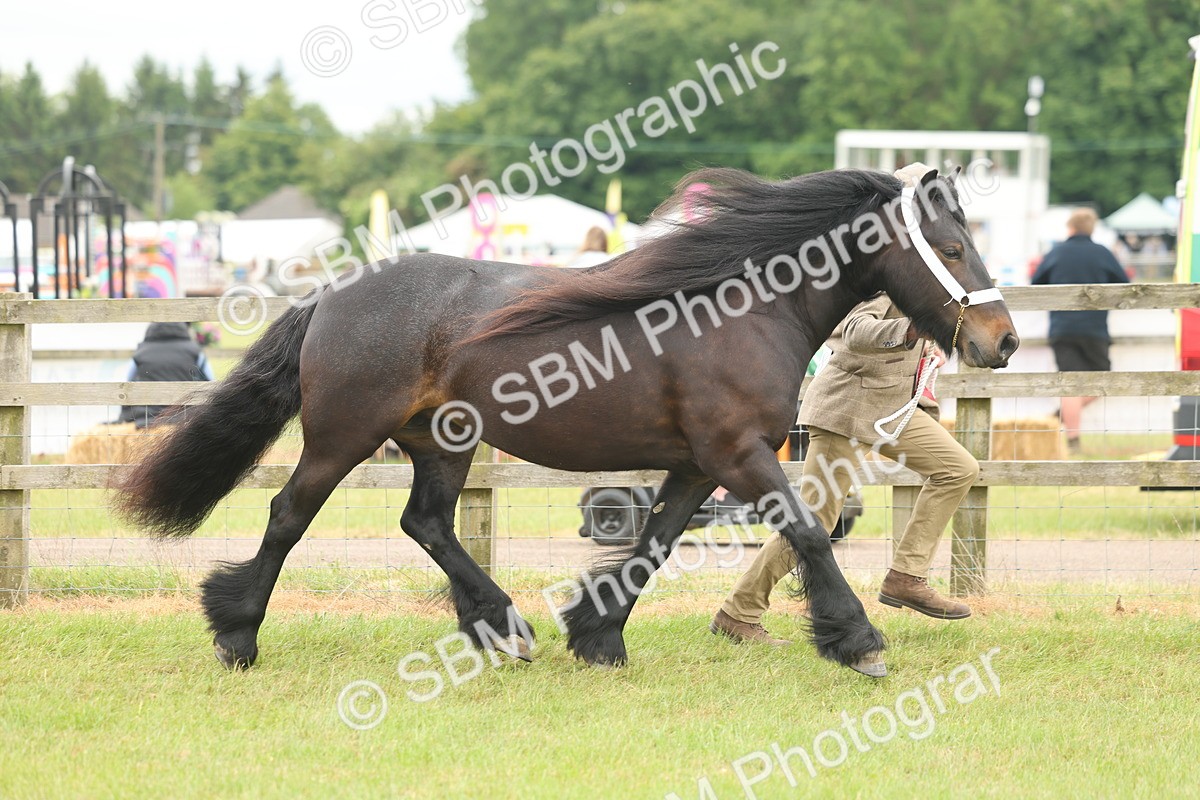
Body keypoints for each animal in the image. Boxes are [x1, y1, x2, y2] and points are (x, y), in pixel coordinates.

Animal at [117, 165, 1019, 675]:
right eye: (951, 246)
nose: (1001, 340)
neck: (743, 309)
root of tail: (332, 294)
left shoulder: (697, 465)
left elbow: (653, 546)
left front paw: (597, 637)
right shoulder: (739, 455)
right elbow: (805, 532)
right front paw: (858, 642)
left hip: (442, 442)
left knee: (428, 524)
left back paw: (502, 629)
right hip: (343, 438)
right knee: (288, 515)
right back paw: (238, 636)